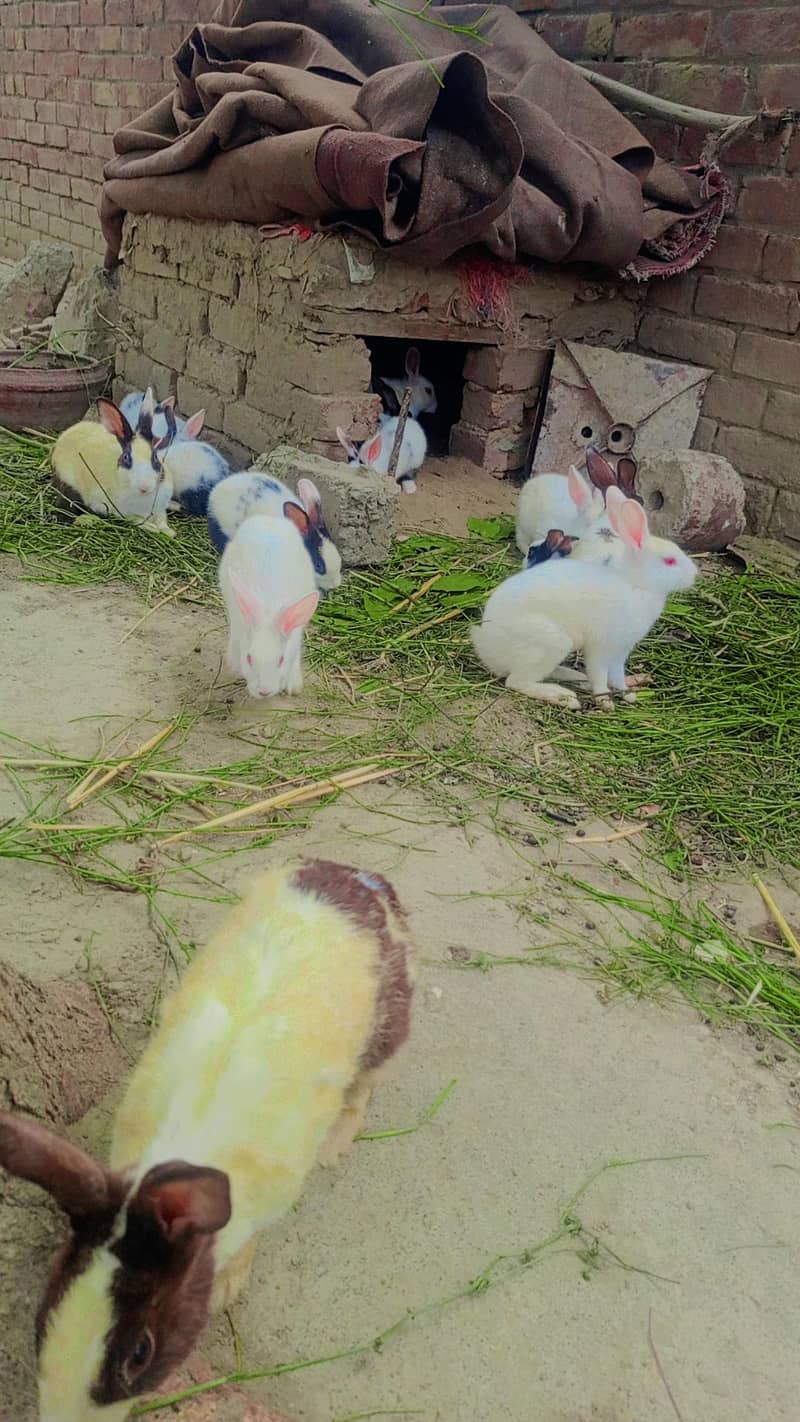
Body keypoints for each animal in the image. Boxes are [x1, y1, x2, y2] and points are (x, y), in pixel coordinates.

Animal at [0, 857, 415, 1422]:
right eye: (49, 1310)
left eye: (140, 1351)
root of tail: (361, 878)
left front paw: (225, 1291)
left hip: (388, 1025)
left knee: (366, 1084)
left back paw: (336, 1146)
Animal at [50, 389, 175, 535]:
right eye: (126, 457)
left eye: (155, 457)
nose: (145, 487)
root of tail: (65, 435)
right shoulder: (118, 510)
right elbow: (135, 519)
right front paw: (152, 527)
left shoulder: (160, 508)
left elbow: (162, 519)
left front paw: (169, 532)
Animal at [219, 514, 320, 697]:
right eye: (249, 658)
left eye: (281, 660)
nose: (264, 691)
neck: (268, 608)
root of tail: (268, 517)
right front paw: (235, 666)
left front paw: (293, 686)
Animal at [472, 487, 697, 711]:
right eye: (670, 561)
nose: (695, 574)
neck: (636, 586)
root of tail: (487, 648)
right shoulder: (602, 647)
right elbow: (599, 674)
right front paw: (605, 702)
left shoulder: (621, 650)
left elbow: (618, 675)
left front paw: (628, 695)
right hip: (550, 642)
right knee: (517, 681)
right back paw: (564, 697)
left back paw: (574, 677)